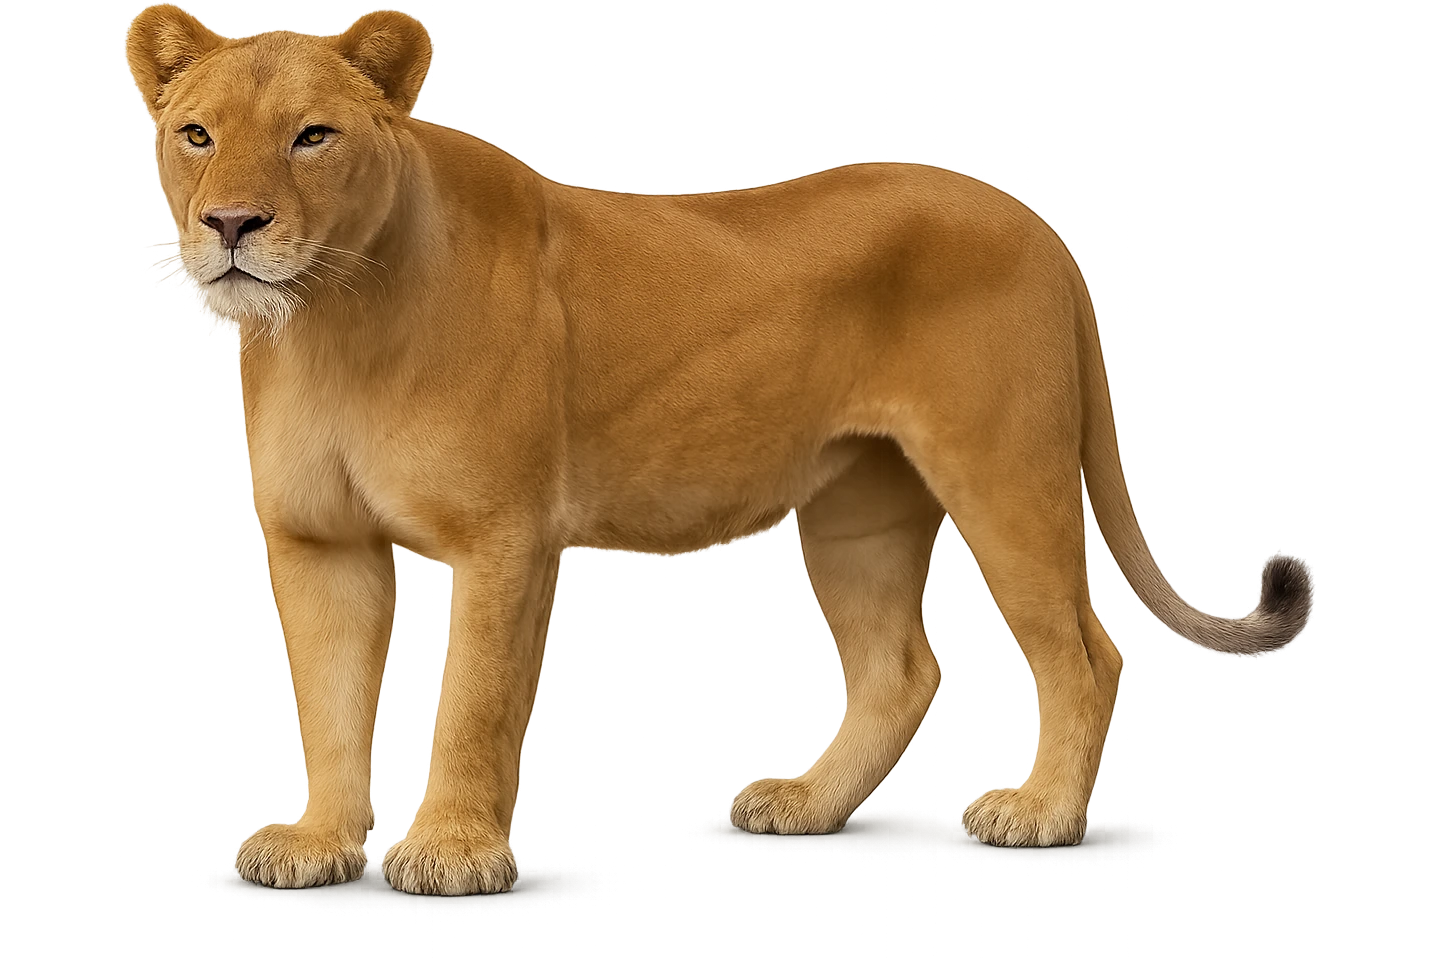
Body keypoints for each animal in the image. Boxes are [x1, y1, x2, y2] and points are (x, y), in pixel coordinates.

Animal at [123, 3, 1315, 896]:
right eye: (198, 136)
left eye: (312, 137)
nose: (230, 226)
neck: (326, 325)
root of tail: (1036, 222)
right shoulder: (319, 542)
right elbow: (326, 704)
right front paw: (321, 845)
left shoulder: (505, 534)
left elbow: (472, 701)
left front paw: (453, 854)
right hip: (858, 507)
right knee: (902, 667)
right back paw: (806, 803)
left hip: (1004, 470)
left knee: (1084, 650)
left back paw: (1037, 813)